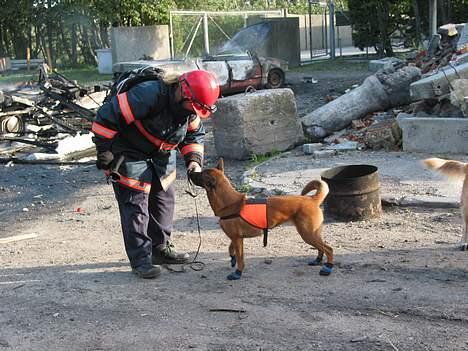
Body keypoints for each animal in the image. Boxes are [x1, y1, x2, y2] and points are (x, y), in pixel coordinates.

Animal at [188, 160, 334, 280]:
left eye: (200, 174)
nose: (189, 171)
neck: (229, 203)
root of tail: (312, 200)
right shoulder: (236, 238)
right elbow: (230, 249)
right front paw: (232, 259)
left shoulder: (237, 239)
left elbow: (240, 258)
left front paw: (237, 273)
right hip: (312, 233)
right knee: (321, 247)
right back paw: (318, 260)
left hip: (307, 234)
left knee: (329, 249)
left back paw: (327, 267)